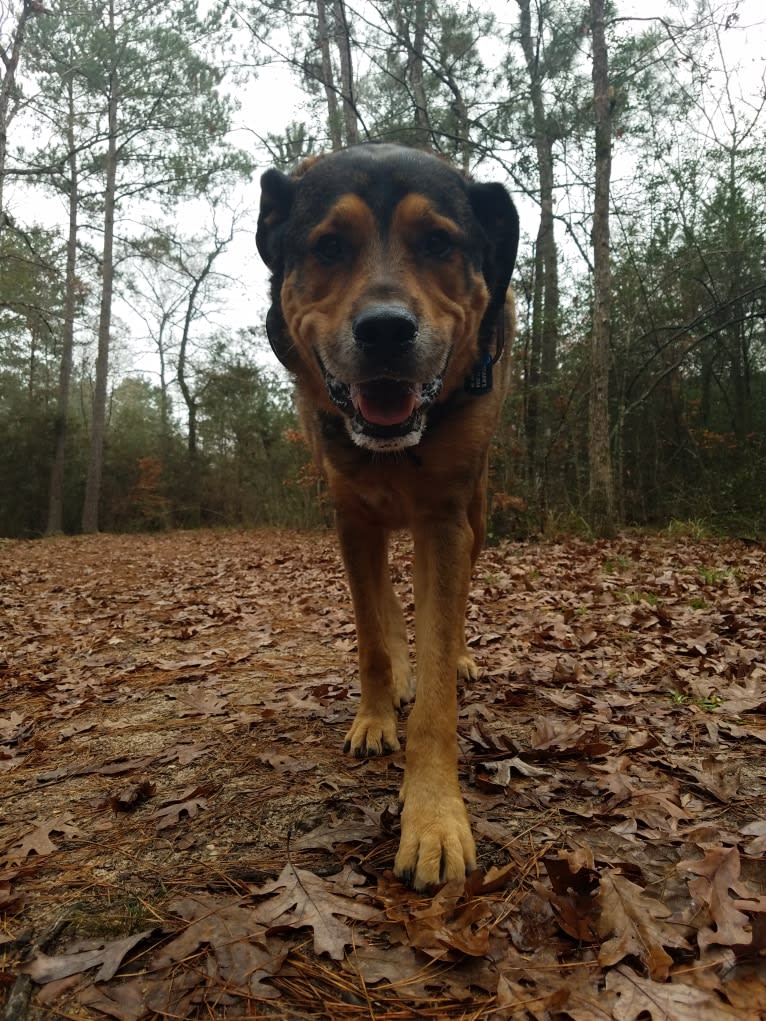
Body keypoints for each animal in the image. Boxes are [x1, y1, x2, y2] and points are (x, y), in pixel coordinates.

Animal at [259, 146, 522, 894]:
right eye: (327, 246)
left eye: (437, 242)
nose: (384, 329)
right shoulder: (353, 520)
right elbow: (374, 635)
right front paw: (376, 715)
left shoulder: (445, 521)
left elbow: (437, 691)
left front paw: (433, 820)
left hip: (478, 512)